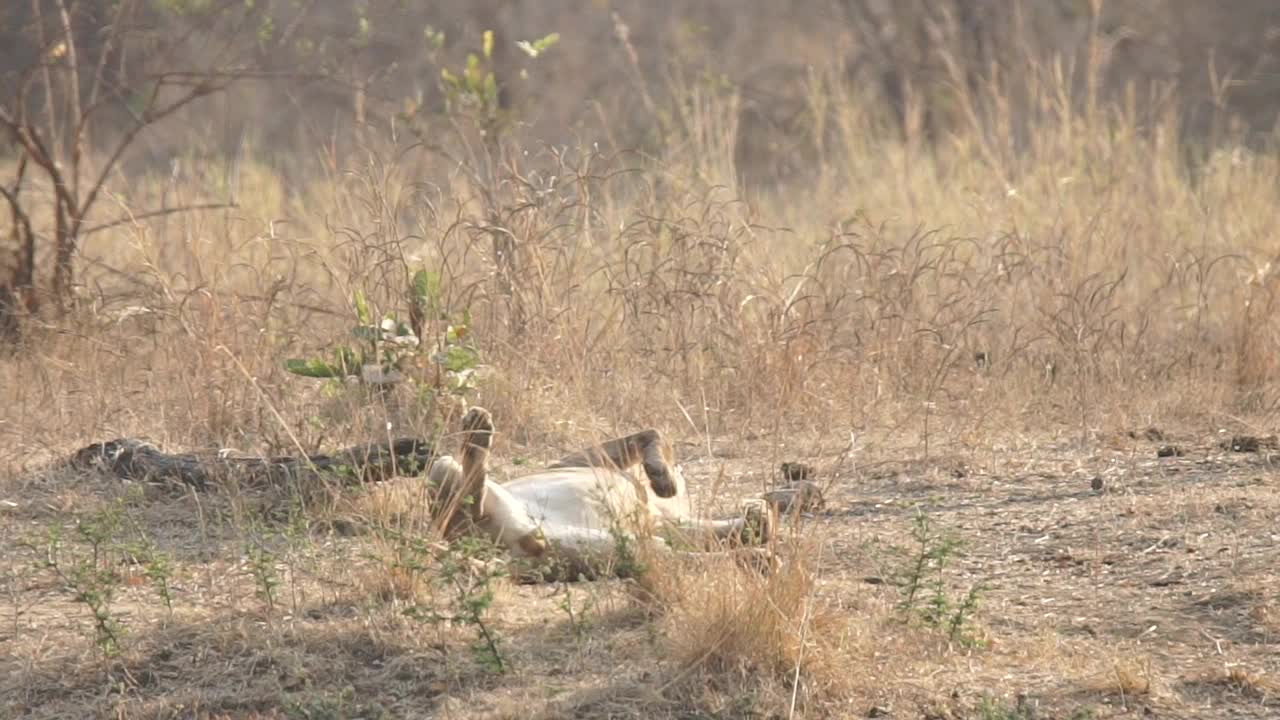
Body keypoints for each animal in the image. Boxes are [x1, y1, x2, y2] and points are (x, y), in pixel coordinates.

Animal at [424, 407, 773, 579]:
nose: (674, 480)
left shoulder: (663, 525)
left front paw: (759, 517)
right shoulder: (578, 460)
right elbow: (653, 433)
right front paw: (662, 476)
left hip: (605, 548)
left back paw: (760, 559)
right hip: (442, 467)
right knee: (465, 504)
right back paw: (478, 431)